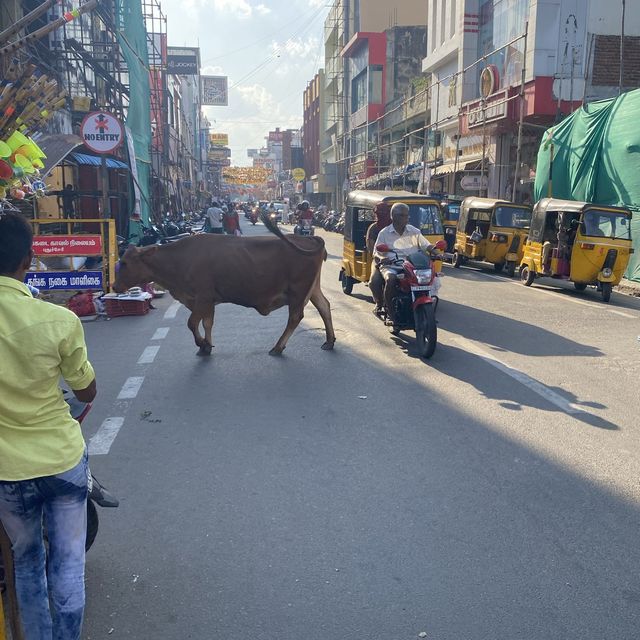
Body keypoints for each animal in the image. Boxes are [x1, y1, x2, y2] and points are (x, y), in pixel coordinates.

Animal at [113, 216, 338, 356]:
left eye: (124, 263)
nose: (114, 286)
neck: (179, 260)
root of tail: (310, 237)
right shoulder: (206, 300)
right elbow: (207, 323)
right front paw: (207, 345)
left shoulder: (203, 297)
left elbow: (192, 323)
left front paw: (202, 344)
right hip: (312, 288)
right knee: (324, 306)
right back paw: (329, 341)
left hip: (298, 290)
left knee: (295, 317)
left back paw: (278, 347)